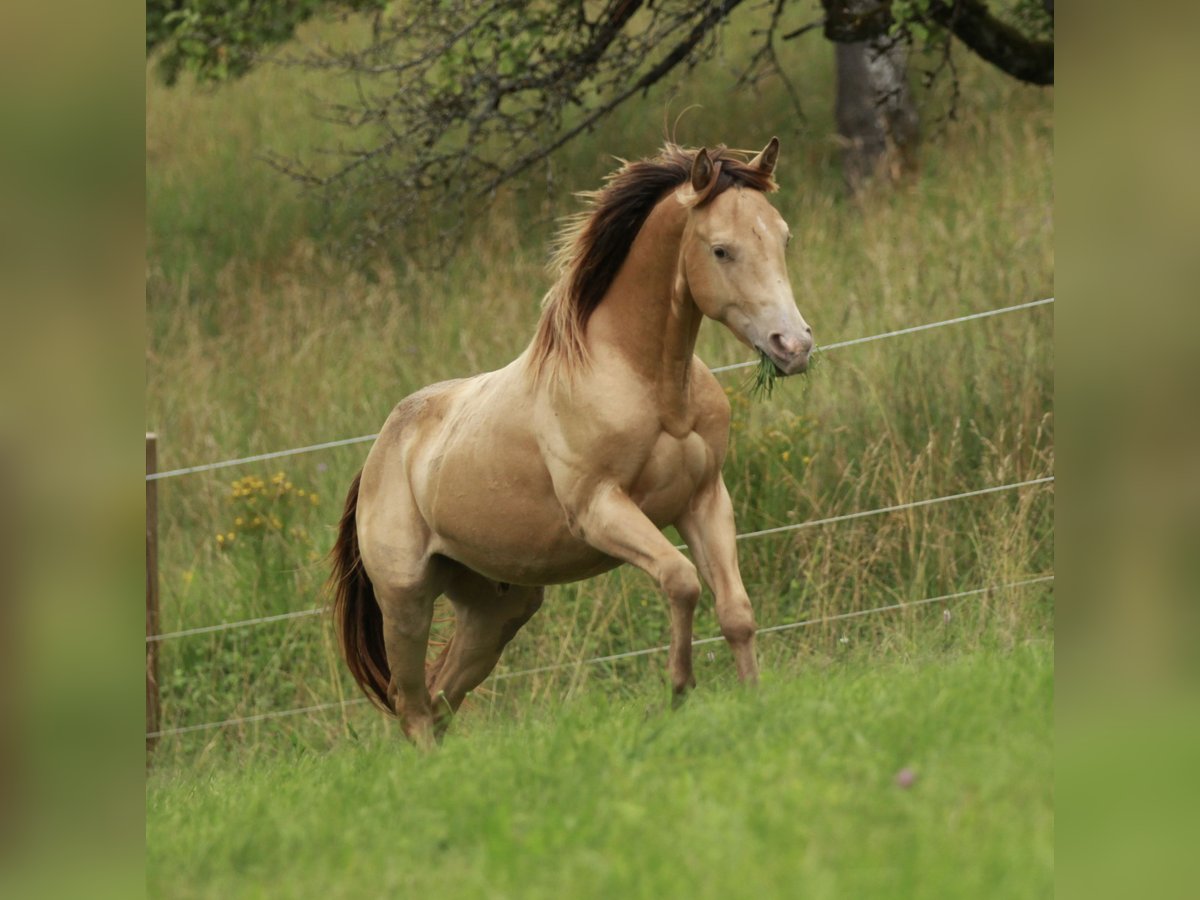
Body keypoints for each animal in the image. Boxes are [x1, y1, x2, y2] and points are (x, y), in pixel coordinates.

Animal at [333, 141, 811, 748]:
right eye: (721, 249)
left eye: (783, 236)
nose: (793, 346)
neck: (648, 383)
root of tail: (378, 456)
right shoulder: (599, 510)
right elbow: (680, 581)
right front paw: (677, 693)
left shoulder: (704, 500)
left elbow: (736, 612)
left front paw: (754, 706)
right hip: (406, 602)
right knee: (411, 703)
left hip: (498, 608)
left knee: (440, 698)